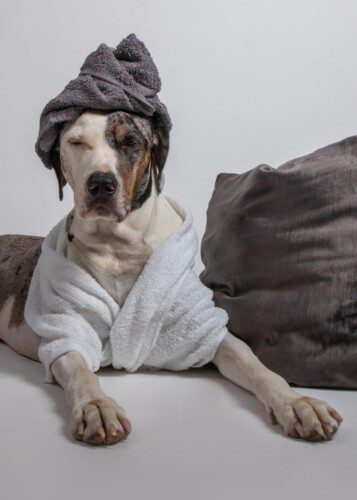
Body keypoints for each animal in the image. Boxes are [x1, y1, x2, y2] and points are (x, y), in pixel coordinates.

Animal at [0, 110, 340, 446]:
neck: (116, 246)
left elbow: (257, 366)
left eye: (129, 141)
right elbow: (81, 374)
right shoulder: (68, 331)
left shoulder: (204, 330)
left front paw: (297, 403)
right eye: (76, 142)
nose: (101, 184)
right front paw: (96, 407)